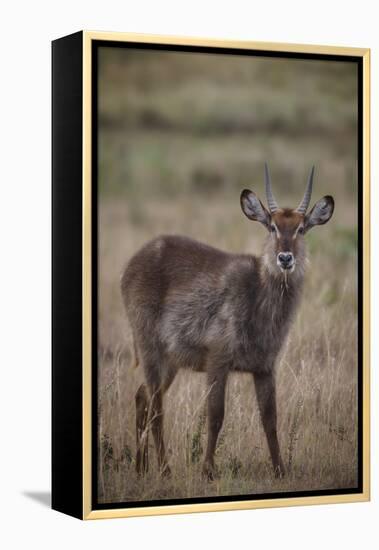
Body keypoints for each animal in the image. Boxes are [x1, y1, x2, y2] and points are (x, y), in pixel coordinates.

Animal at [121, 166, 336, 480]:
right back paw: (164, 470)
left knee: (142, 397)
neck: (259, 300)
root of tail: (134, 261)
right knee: (157, 407)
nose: (285, 258)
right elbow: (215, 416)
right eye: (272, 226)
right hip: (150, 347)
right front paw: (208, 471)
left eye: (301, 228)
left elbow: (270, 419)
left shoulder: (265, 367)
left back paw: (140, 468)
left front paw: (280, 470)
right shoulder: (217, 360)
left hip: (170, 360)